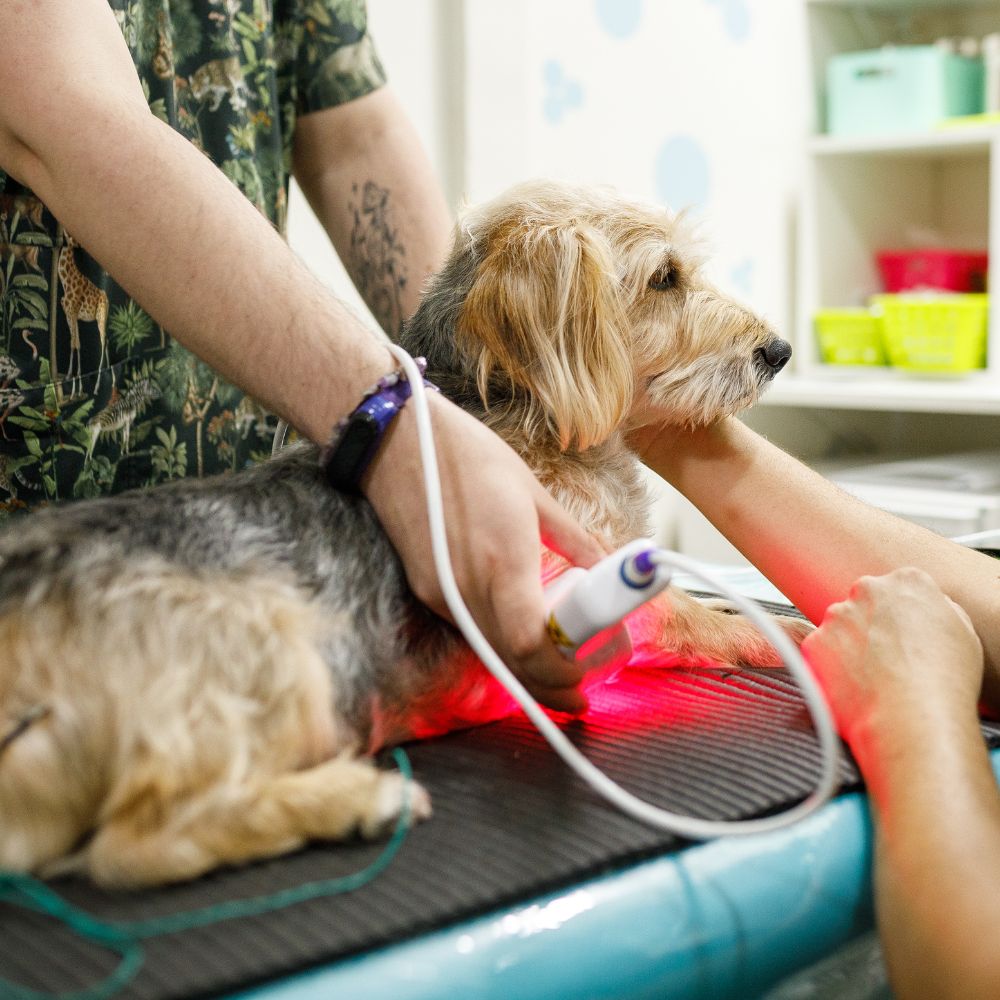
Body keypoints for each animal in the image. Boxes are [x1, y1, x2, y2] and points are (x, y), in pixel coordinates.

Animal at [0, 184, 804, 888]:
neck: (517, 410)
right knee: (138, 845)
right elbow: (702, 618)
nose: (780, 350)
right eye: (665, 278)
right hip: (269, 650)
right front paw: (790, 635)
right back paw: (358, 800)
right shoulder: (579, 583)